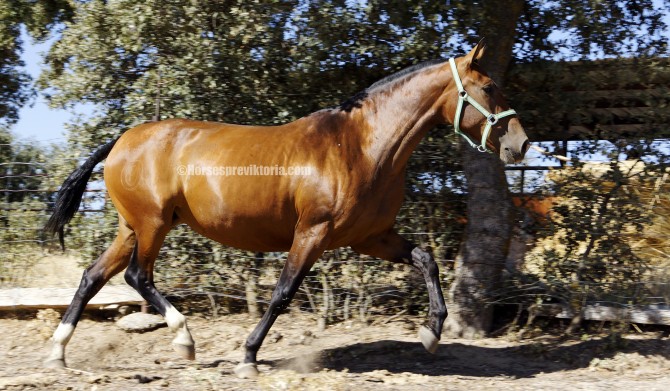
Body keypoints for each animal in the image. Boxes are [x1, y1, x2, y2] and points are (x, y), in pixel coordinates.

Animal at [44, 41, 532, 378]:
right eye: (489, 86)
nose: (521, 143)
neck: (361, 146)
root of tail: (122, 140)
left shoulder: (369, 237)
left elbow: (427, 261)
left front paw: (431, 334)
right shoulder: (312, 233)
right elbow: (282, 292)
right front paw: (248, 357)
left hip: (132, 226)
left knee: (91, 277)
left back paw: (58, 352)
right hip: (152, 224)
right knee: (136, 276)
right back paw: (184, 339)